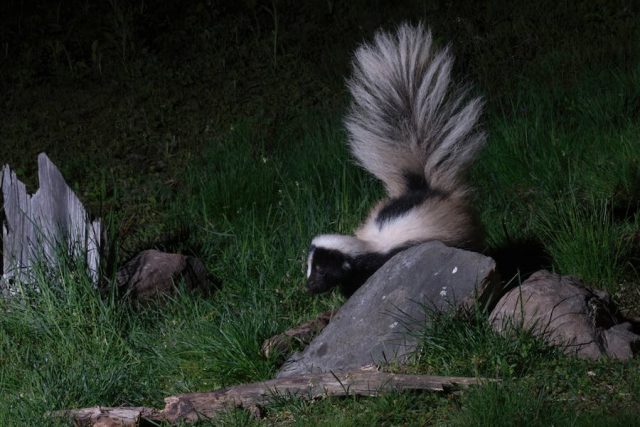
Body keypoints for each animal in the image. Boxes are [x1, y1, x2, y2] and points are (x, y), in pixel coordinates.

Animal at [304, 24, 484, 298]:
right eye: (309, 269)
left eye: (323, 271)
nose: (309, 287)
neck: (368, 246)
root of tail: (426, 188)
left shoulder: (386, 259)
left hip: (462, 234)